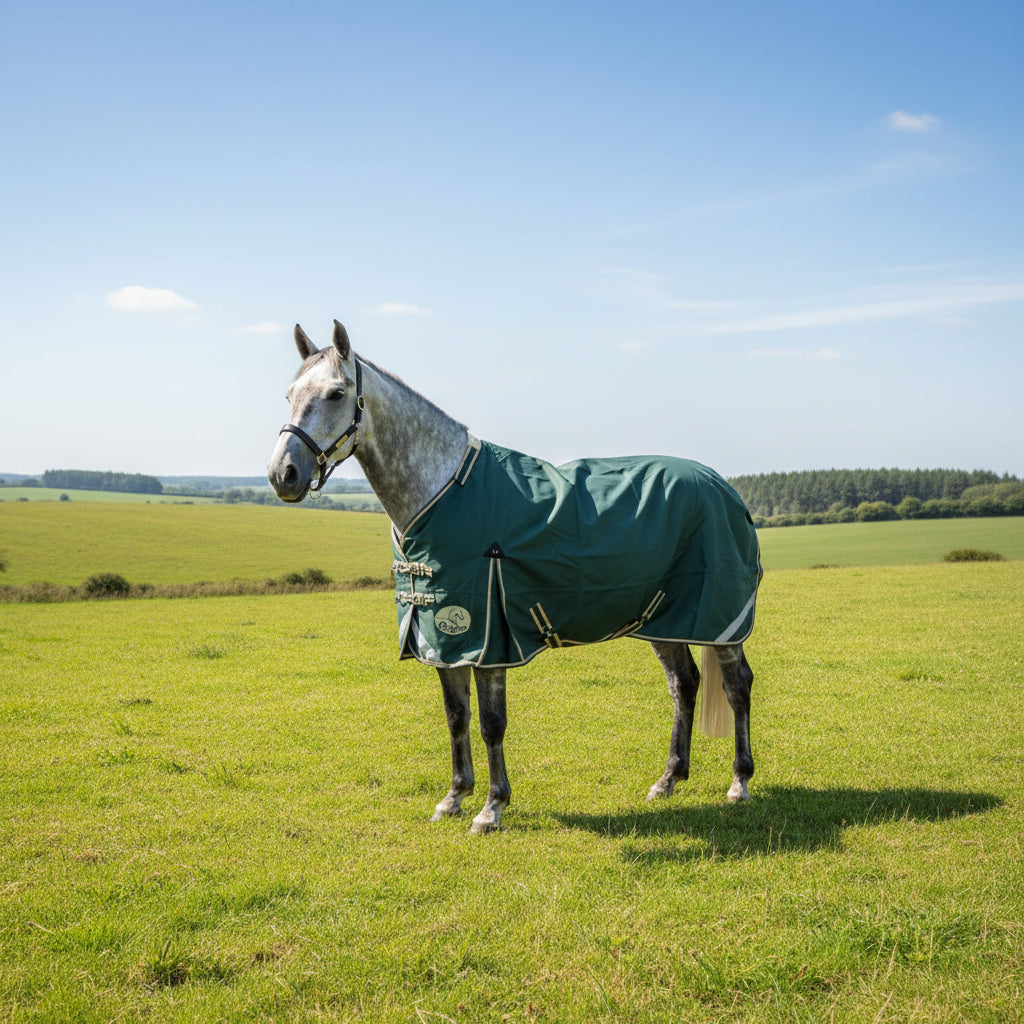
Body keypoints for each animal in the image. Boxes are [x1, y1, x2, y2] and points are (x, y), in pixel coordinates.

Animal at [267, 320, 761, 834]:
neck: (442, 491)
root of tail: (724, 488)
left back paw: (739, 783)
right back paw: (667, 780)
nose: (283, 474)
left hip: (721, 621)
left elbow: (491, 722)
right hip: (664, 619)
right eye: (289, 394)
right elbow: (456, 717)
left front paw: (491, 808)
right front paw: (453, 797)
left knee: (737, 687)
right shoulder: (442, 638)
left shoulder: (485, 636)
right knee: (684, 684)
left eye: (336, 393)